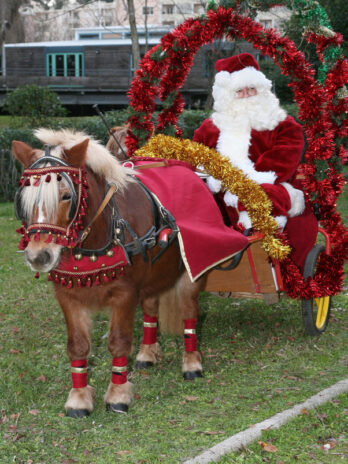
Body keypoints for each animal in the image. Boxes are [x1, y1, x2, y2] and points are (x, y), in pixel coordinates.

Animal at [12, 129, 208, 418]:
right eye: (24, 198)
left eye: (66, 196)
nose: (39, 256)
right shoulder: (67, 296)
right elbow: (77, 346)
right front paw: (79, 398)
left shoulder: (124, 294)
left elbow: (119, 341)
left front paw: (118, 394)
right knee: (151, 307)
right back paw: (147, 353)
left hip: (191, 273)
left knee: (189, 313)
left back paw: (192, 363)